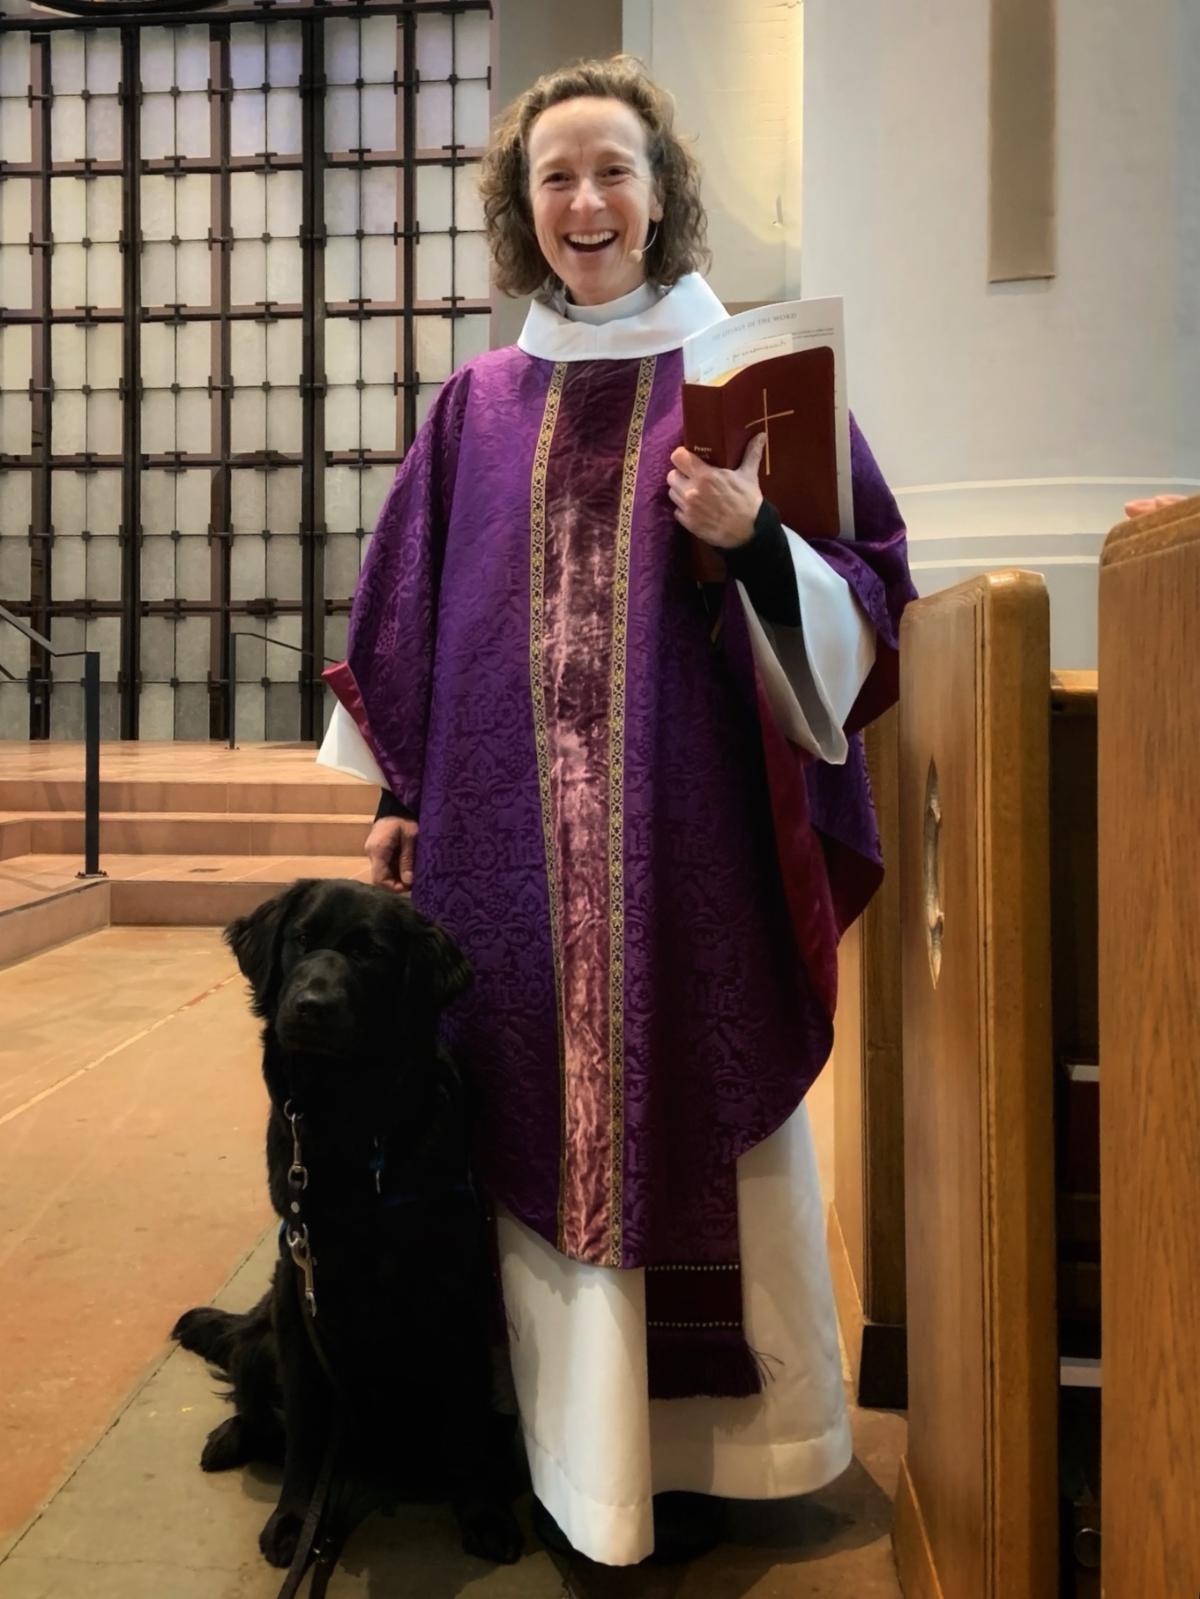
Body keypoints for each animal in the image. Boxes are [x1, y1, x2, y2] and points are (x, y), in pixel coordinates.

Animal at [171, 878, 522, 1576]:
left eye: (370, 954)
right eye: (301, 940)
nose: (309, 1007)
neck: (352, 1118)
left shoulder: (456, 1287)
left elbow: (467, 1416)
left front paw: (482, 1512)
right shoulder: (301, 1286)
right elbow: (307, 1429)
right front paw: (292, 1520)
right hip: (267, 1335)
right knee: (255, 1394)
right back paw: (230, 1436)